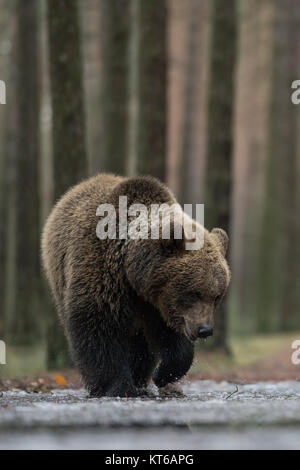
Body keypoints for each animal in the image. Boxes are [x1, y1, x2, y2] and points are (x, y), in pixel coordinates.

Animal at [41, 173, 230, 396]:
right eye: (194, 293)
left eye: (217, 296)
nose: (205, 329)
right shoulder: (103, 275)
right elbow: (99, 328)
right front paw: (117, 385)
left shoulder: (159, 306)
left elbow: (170, 338)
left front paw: (163, 374)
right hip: (59, 276)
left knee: (141, 345)